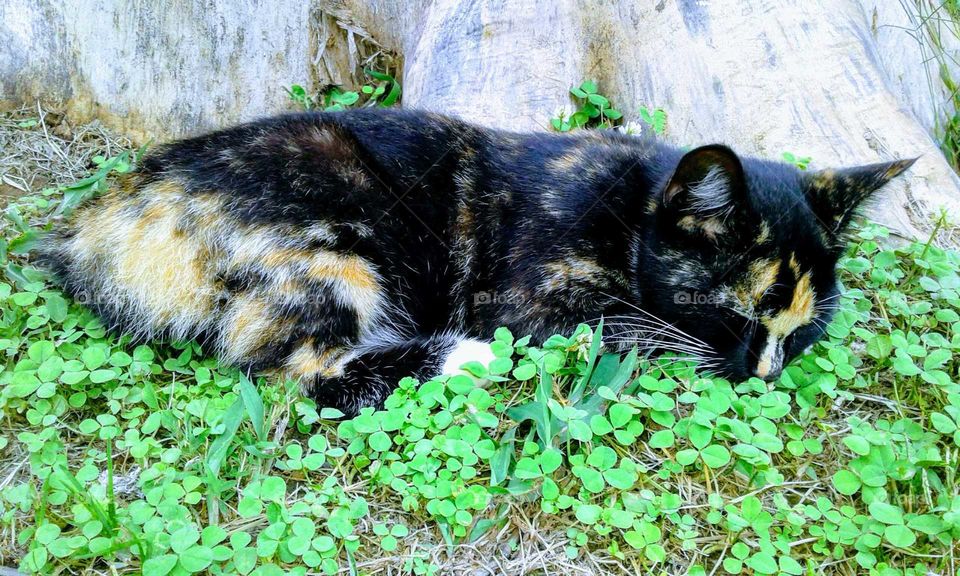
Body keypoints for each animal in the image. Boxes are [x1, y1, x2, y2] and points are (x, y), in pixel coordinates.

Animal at [39, 109, 916, 414]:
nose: (766, 374)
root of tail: (100, 225)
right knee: (289, 369)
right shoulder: (534, 301)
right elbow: (626, 329)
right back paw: (461, 358)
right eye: (735, 311)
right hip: (334, 243)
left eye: (805, 330)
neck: (629, 208)